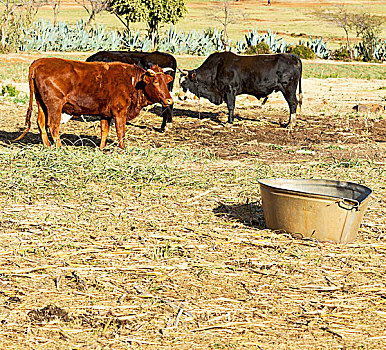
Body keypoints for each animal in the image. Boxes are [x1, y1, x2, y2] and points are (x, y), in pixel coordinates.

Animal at [13, 57, 173, 149]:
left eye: (166, 82)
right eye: (156, 81)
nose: (169, 100)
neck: (132, 82)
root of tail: (40, 61)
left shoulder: (105, 113)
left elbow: (104, 131)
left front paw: (101, 149)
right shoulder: (119, 111)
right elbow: (120, 131)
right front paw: (123, 149)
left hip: (41, 103)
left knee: (41, 123)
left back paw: (47, 146)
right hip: (54, 105)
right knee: (53, 126)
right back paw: (60, 147)